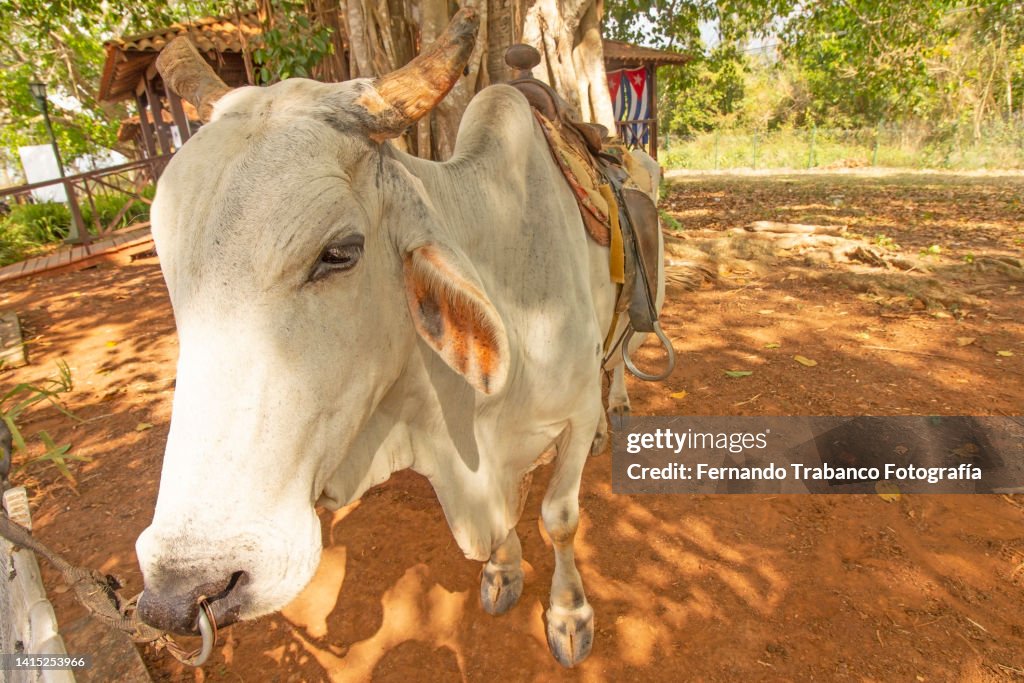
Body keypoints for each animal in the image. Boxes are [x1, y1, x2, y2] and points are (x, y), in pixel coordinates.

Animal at [134, 7, 665, 668]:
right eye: (169, 265)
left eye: (339, 252)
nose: (183, 589)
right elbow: (510, 519)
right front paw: (503, 573)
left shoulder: (571, 412)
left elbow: (558, 518)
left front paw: (569, 614)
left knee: (617, 363)